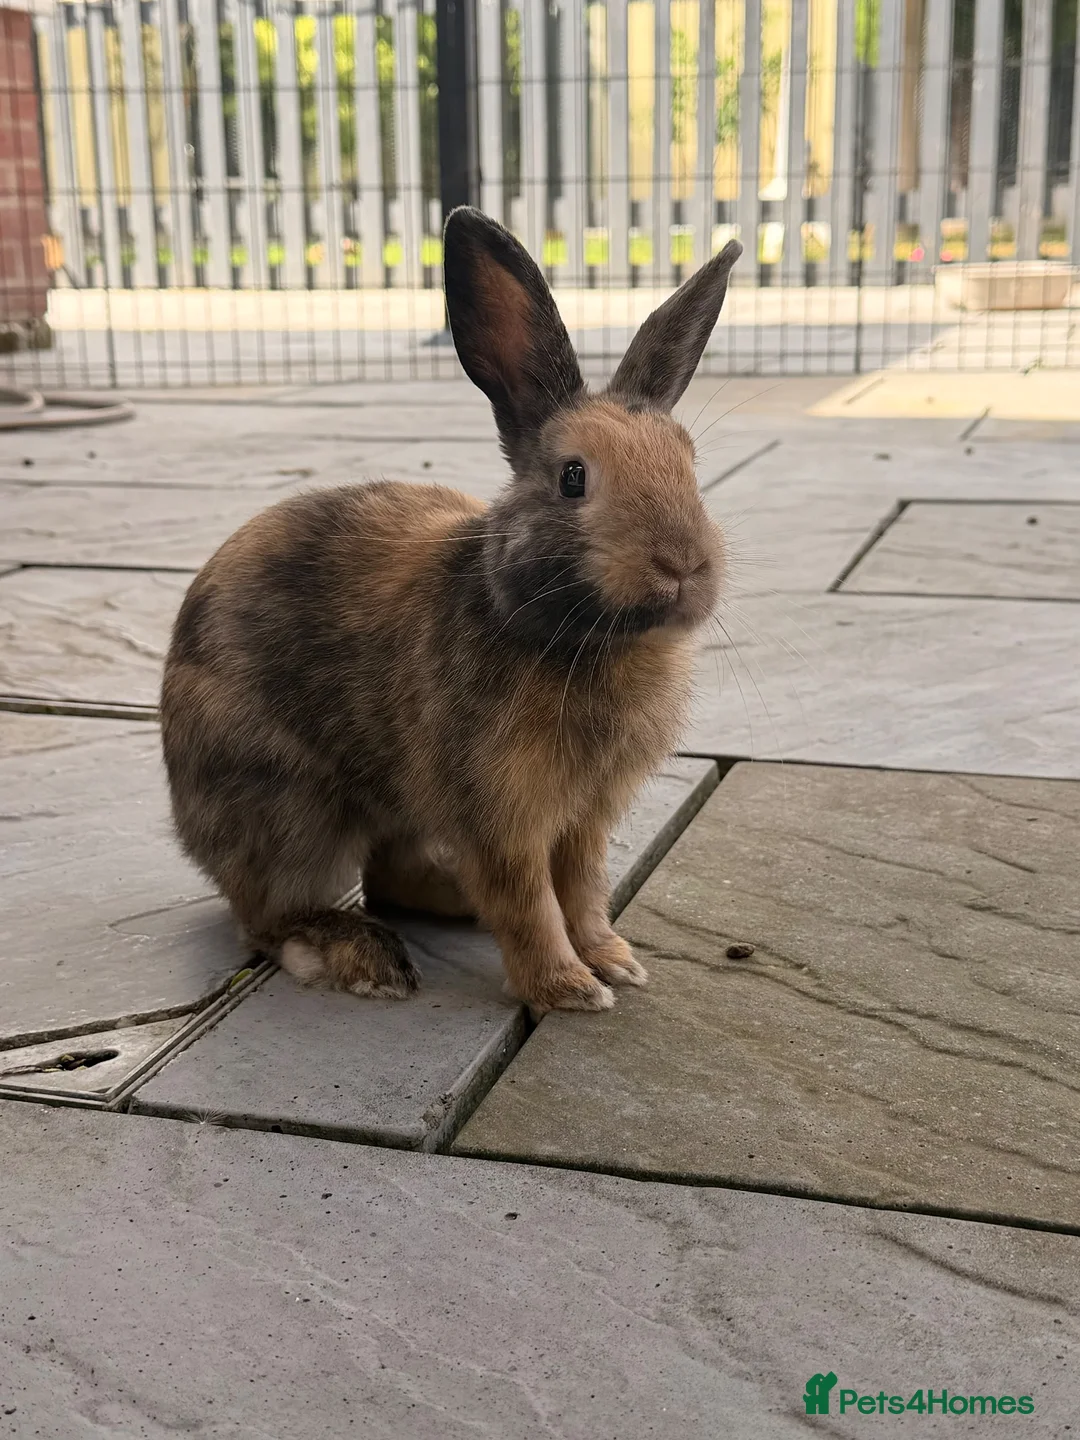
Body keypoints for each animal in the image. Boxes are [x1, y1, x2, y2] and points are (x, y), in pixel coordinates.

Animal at [160, 207, 741, 1014]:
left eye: (689, 465)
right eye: (573, 478)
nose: (683, 566)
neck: (569, 637)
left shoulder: (585, 818)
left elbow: (582, 890)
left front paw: (612, 960)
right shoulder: (498, 810)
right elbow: (527, 902)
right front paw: (567, 988)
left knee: (386, 878)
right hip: (287, 810)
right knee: (270, 914)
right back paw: (360, 960)